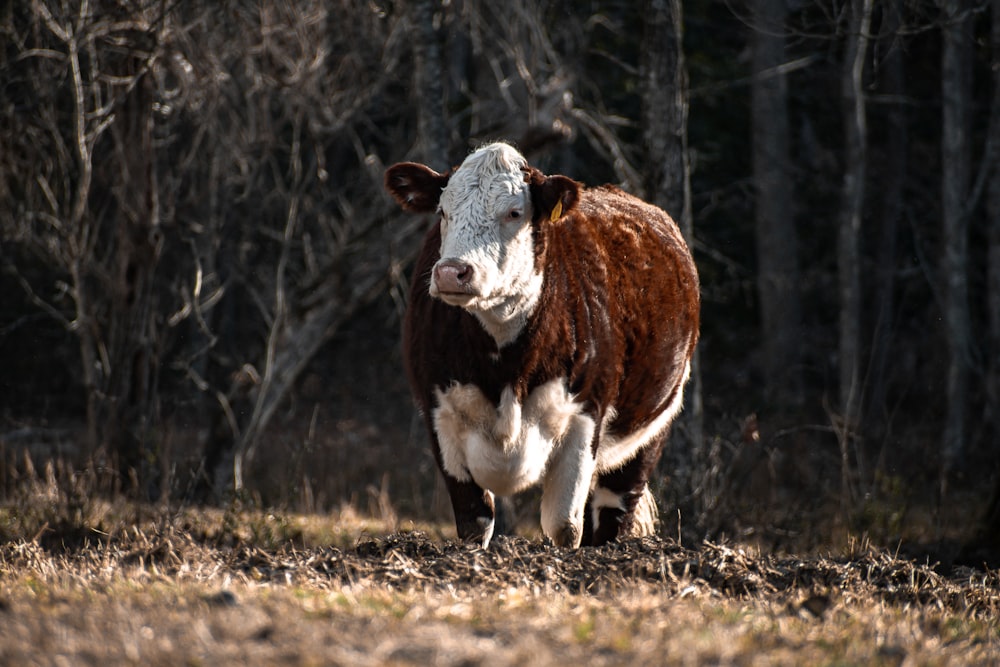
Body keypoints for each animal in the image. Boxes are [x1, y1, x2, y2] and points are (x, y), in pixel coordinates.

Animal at [386, 142, 700, 548]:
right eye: (443, 211)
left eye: (514, 212)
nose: (452, 272)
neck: (504, 367)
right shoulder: (438, 411)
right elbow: (474, 521)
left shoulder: (586, 413)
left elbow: (565, 527)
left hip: (655, 423)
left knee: (613, 511)